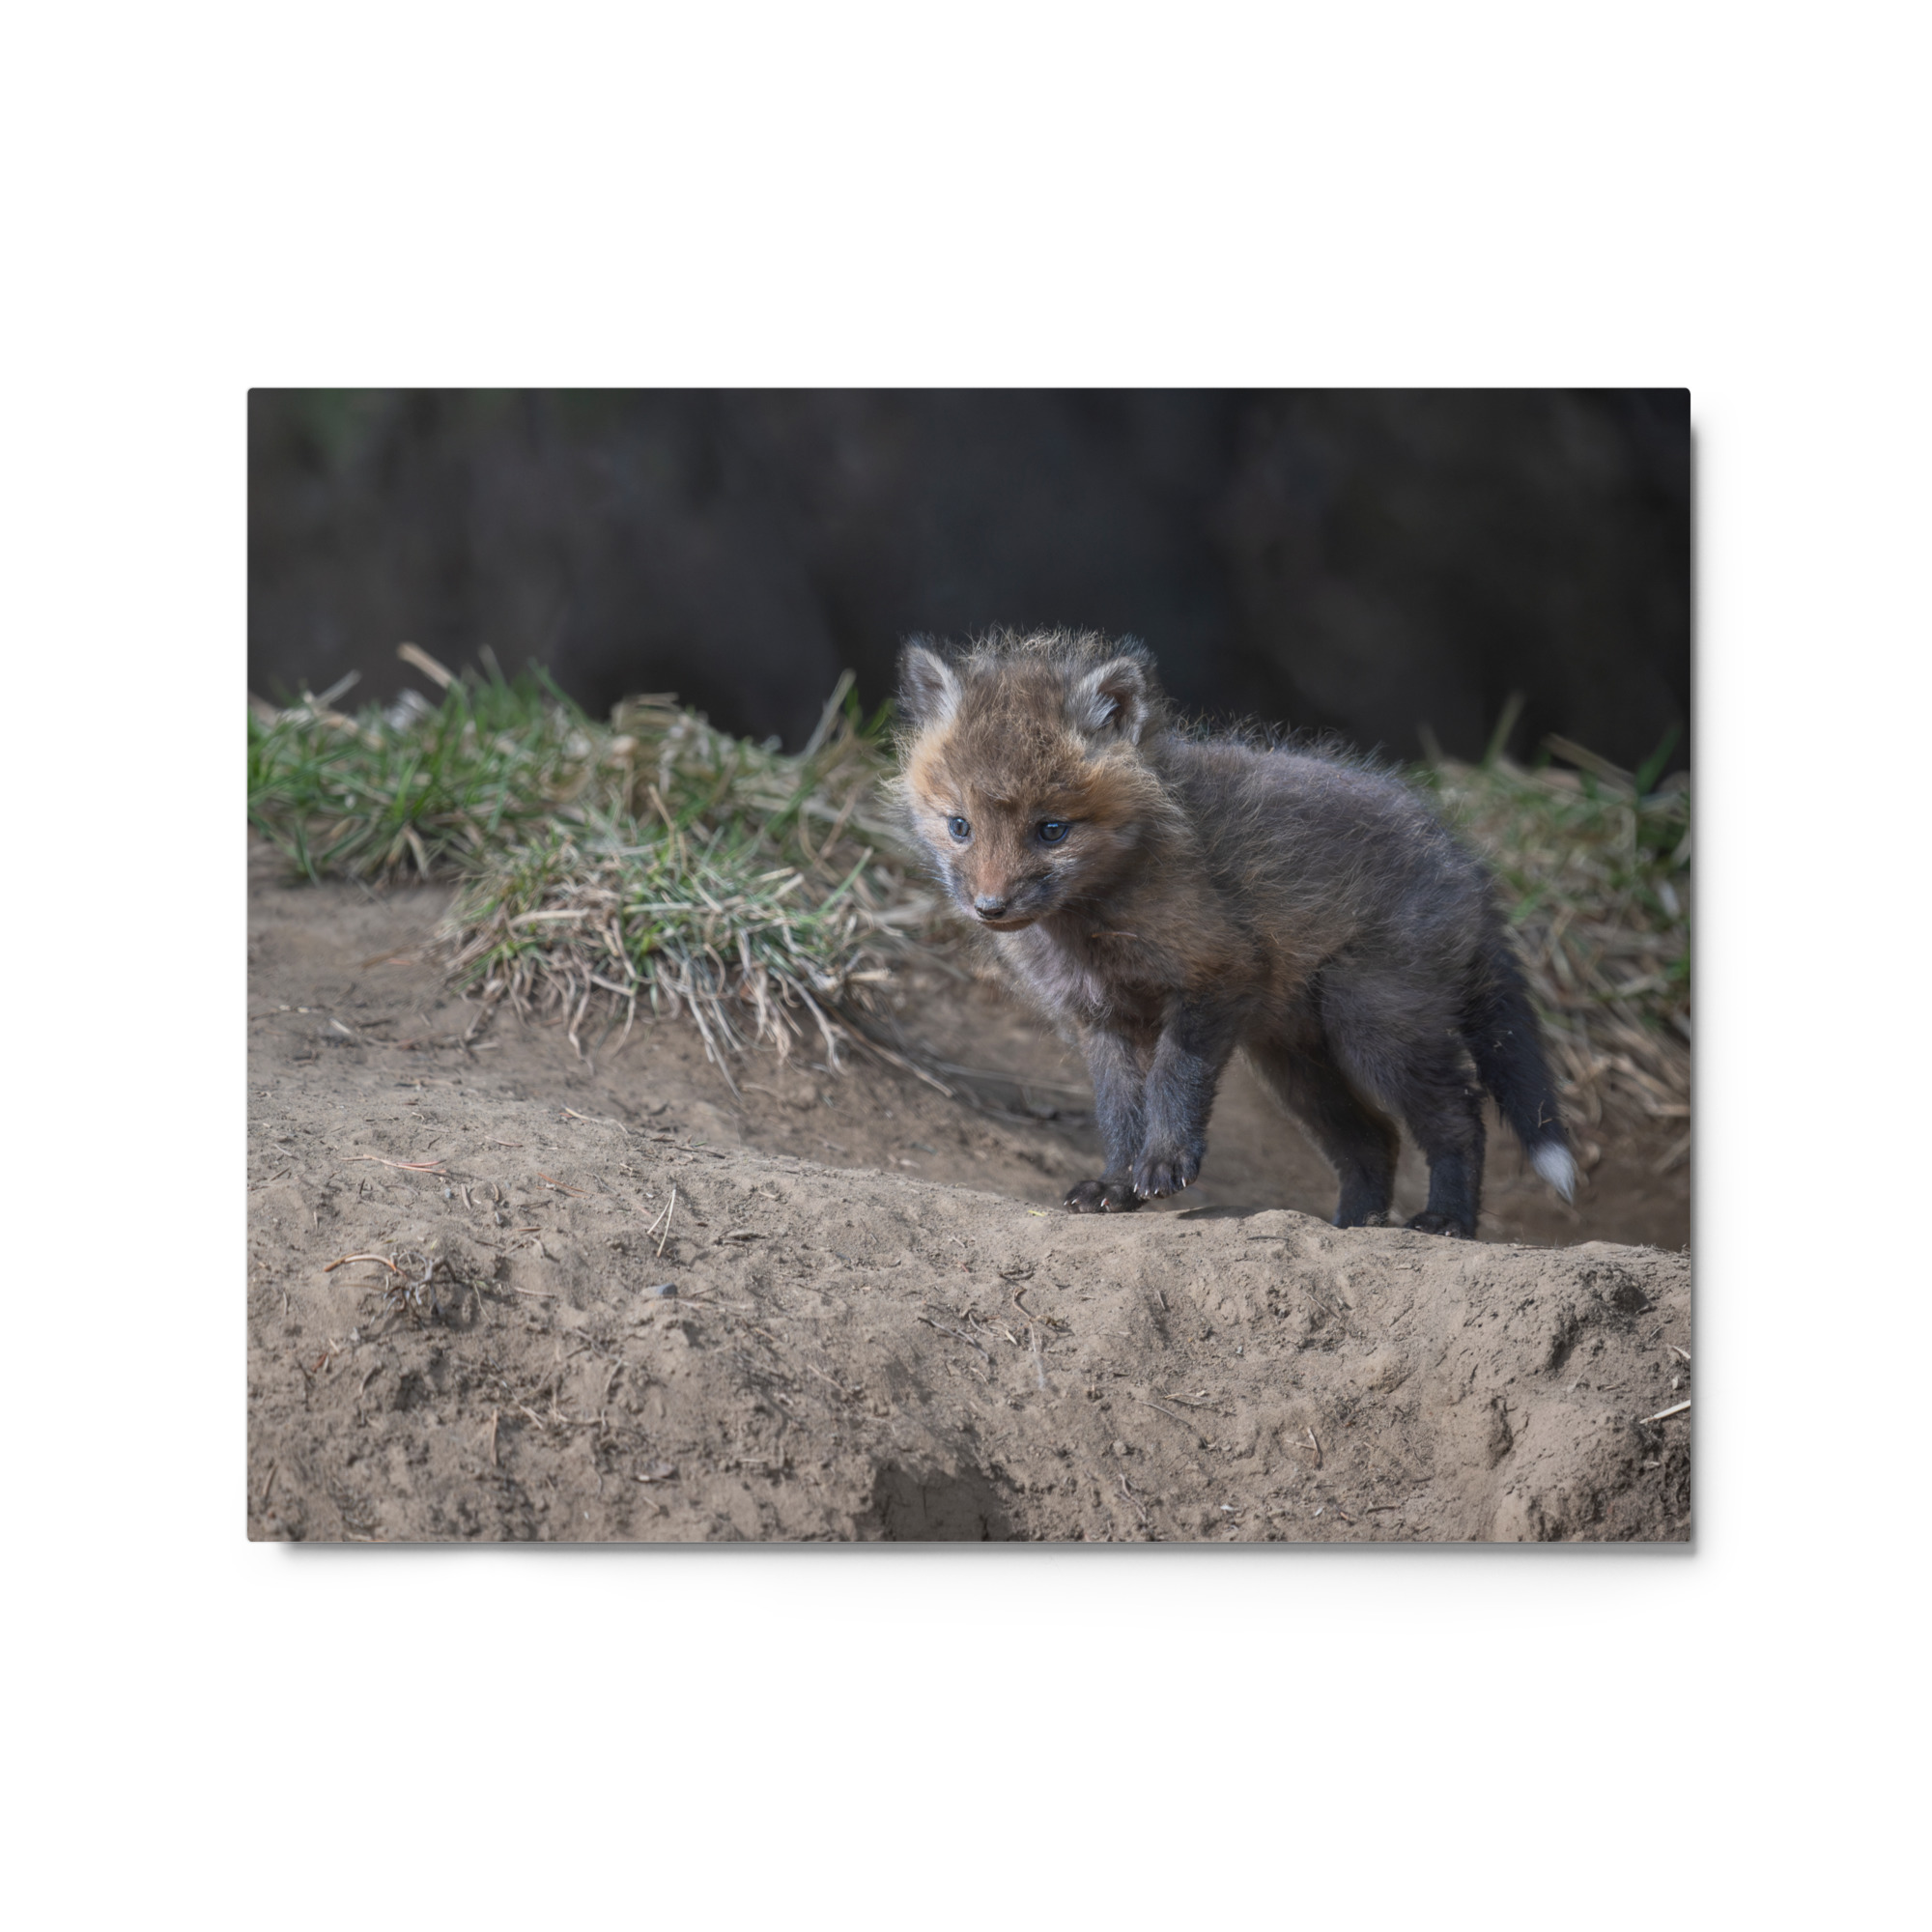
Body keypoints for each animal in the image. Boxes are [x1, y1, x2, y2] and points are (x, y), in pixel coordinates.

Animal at [892, 628, 1576, 1237]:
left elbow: (1173, 1080)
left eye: (1051, 830)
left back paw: (1447, 1220)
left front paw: (1165, 1163)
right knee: (1374, 1140)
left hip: (1375, 1027)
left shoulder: (1216, 975)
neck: (1093, 927)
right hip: (1296, 1062)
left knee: (1460, 1117)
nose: (990, 907)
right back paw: (1354, 1226)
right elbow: (1118, 1112)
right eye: (959, 826)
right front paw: (1116, 1184)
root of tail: (1466, 862)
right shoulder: (1102, 1019)